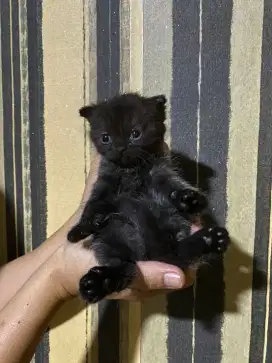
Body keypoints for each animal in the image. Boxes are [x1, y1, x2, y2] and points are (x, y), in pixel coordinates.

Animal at [68, 93, 230, 304]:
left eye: (135, 134)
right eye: (105, 138)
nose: (120, 148)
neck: (130, 171)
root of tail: (150, 253)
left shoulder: (161, 172)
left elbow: (172, 186)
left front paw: (190, 200)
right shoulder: (104, 183)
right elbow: (93, 203)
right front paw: (81, 228)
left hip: (168, 222)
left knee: (176, 253)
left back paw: (209, 239)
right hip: (110, 237)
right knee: (126, 267)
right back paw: (98, 283)